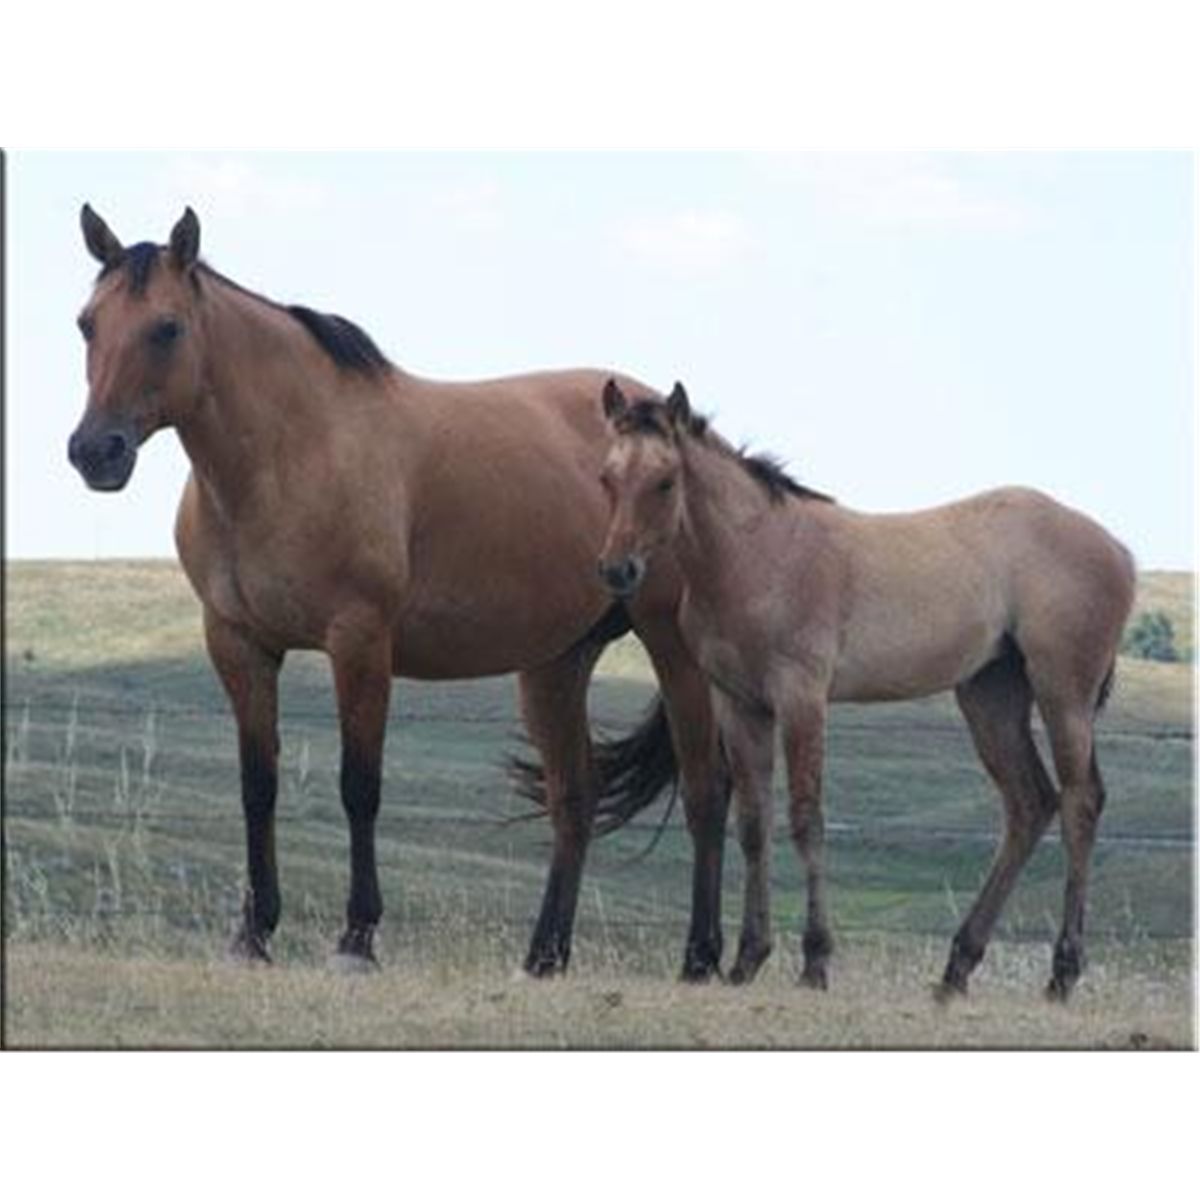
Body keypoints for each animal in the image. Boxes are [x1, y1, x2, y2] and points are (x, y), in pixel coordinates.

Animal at [66, 205, 733, 979]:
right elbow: (257, 788)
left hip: (671, 645)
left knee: (706, 790)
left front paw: (356, 939)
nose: (95, 452)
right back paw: (544, 957)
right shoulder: (239, 644)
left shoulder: (359, 640)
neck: (292, 452)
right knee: (576, 799)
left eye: (167, 327)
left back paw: (701, 958)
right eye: (87, 323)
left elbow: (360, 787)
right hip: (556, 662)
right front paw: (252, 935)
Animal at [596, 379, 1135, 1000]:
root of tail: (1118, 549)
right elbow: (754, 824)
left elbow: (807, 819)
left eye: (665, 481)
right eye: (606, 476)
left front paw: (814, 961)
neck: (758, 556)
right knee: (1030, 803)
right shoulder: (741, 705)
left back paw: (1061, 974)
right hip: (990, 697)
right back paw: (956, 968)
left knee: (1079, 802)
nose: (617, 571)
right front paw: (747, 959)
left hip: (1063, 693)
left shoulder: (801, 697)